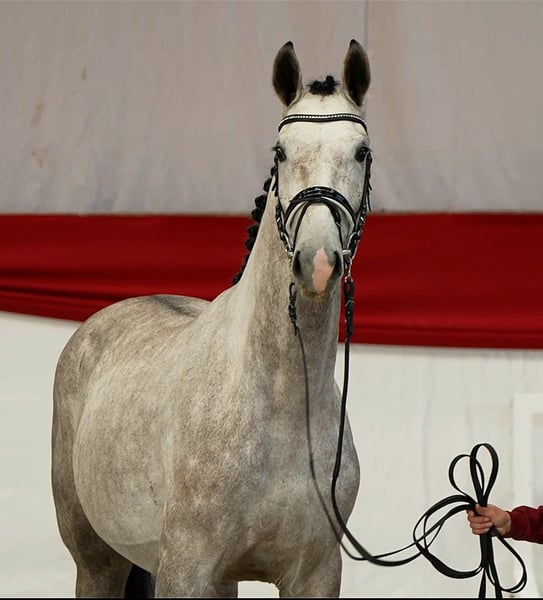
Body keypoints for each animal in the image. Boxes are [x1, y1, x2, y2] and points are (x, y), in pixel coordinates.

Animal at [51, 39, 372, 598]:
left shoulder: (315, 574)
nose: (317, 261)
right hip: (97, 562)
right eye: (280, 152)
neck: (281, 403)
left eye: (361, 152)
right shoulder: (186, 569)